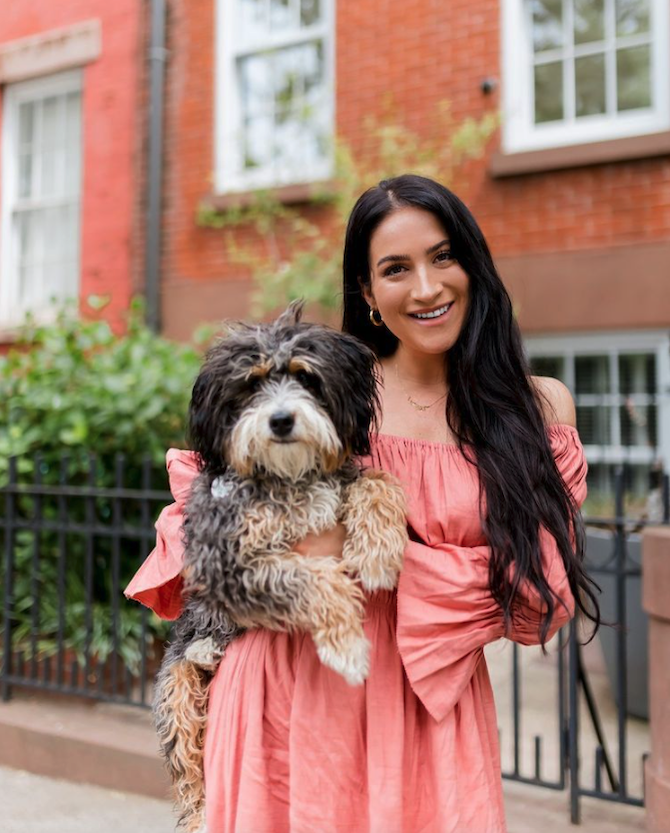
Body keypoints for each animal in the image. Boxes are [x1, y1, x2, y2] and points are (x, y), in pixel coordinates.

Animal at [154, 302, 410, 828]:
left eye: (305, 376)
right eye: (251, 384)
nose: (281, 421)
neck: (288, 476)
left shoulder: (342, 481)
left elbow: (377, 480)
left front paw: (377, 551)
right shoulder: (225, 561)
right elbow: (312, 578)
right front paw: (348, 649)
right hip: (175, 690)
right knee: (190, 771)